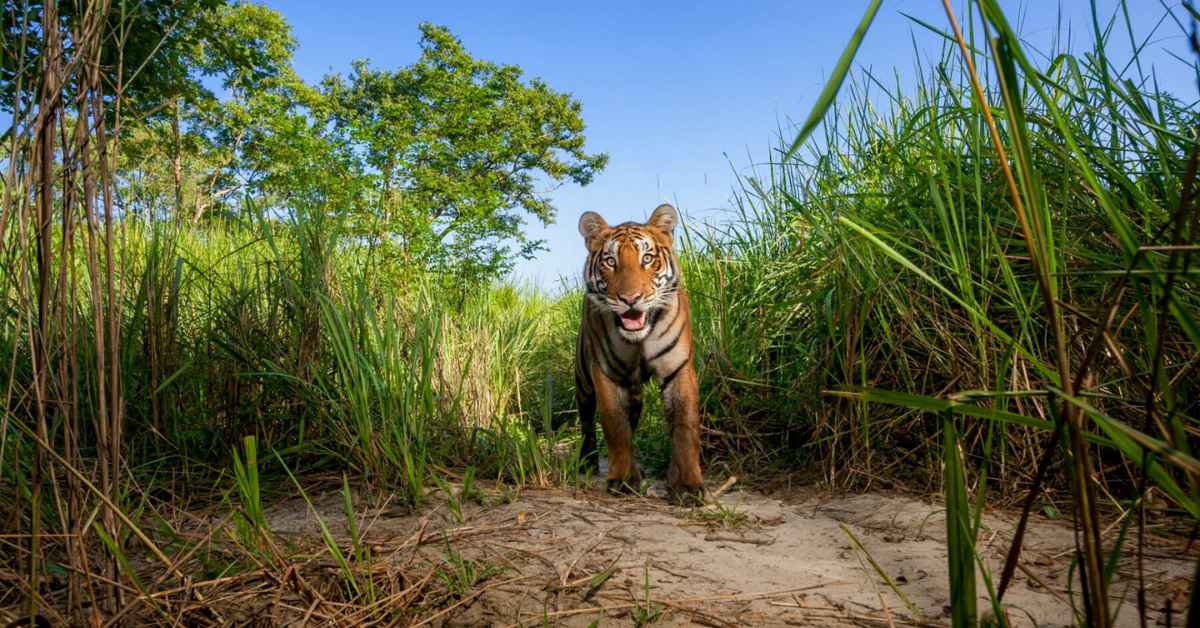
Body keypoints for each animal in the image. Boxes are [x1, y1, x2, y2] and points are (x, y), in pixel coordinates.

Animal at [574, 203, 705, 504]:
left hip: (633, 392)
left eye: (647, 258)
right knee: (587, 421)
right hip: (584, 380)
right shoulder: (605, 374)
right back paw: (587, 462)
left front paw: (687, 485)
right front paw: (623, 479)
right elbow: (615, 425)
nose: (630, 299)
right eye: (610, 261)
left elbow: (685, 426)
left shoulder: (678, 369)